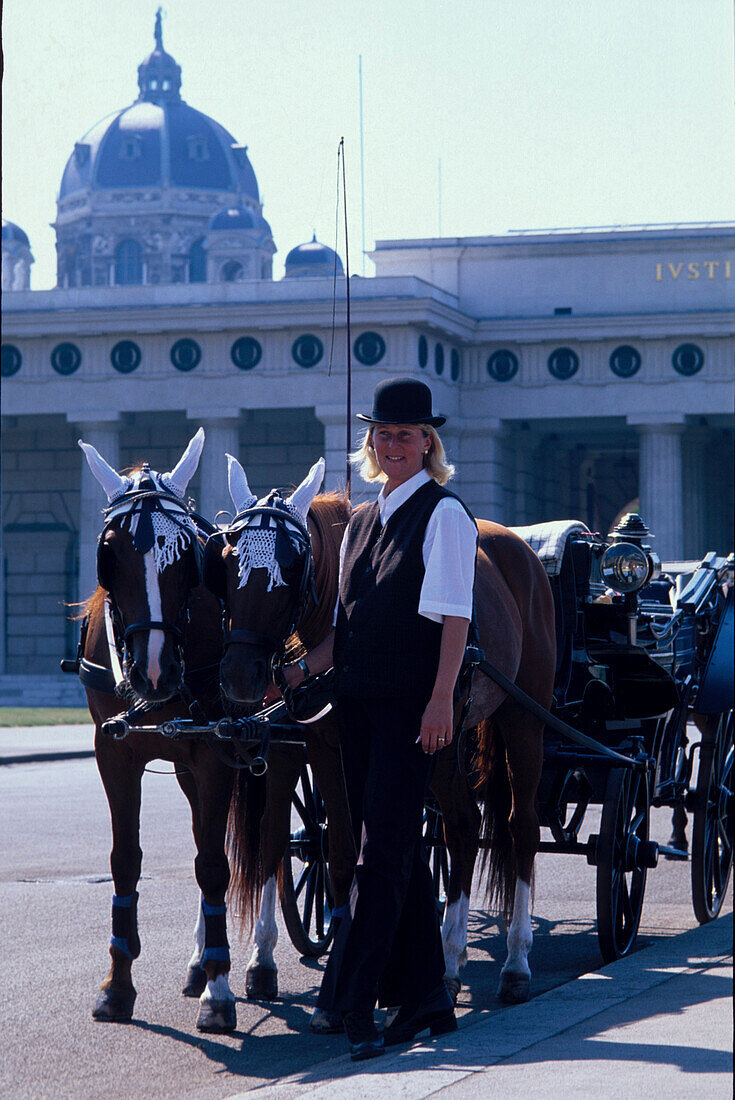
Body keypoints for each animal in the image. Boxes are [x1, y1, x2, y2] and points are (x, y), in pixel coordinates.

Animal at [78, 429, 239, 1029]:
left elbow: (213, 864)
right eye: (109, 555)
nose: (153, 671)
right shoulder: (113, 752)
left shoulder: (218, 752)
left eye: (187, 560)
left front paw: (220, 989)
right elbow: (125, 860)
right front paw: (117, 984)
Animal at [202, 451, 354, 1003]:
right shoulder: (296, 746)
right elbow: (273, 840)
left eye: (291, 566)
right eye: (225, 562)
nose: (240, 676)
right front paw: (261, 958)